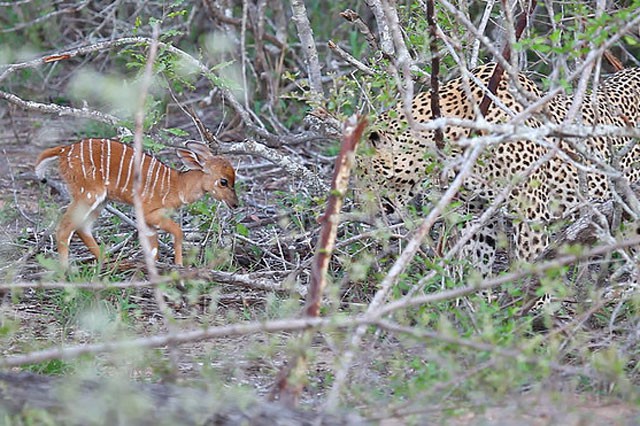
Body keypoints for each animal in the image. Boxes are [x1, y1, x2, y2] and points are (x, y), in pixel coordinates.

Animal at [33, 139, 238, 266]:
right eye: (223, 181)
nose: (235, 204)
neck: (178, 186)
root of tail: (63, 151)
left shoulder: (149, 223)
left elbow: (153, 249)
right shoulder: (149, 213)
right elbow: (178, 232)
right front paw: (179, 265)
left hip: (100, 200)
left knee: (82, 227)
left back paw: (108, 263)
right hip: (88, 194)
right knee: (65, 228)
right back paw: (66, 271)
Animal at [360, 62, 640, 276]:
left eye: (361, 175)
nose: (364, 212)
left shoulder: (531, 212)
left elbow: (532, 266)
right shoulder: (476, 212)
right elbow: (477, 263)